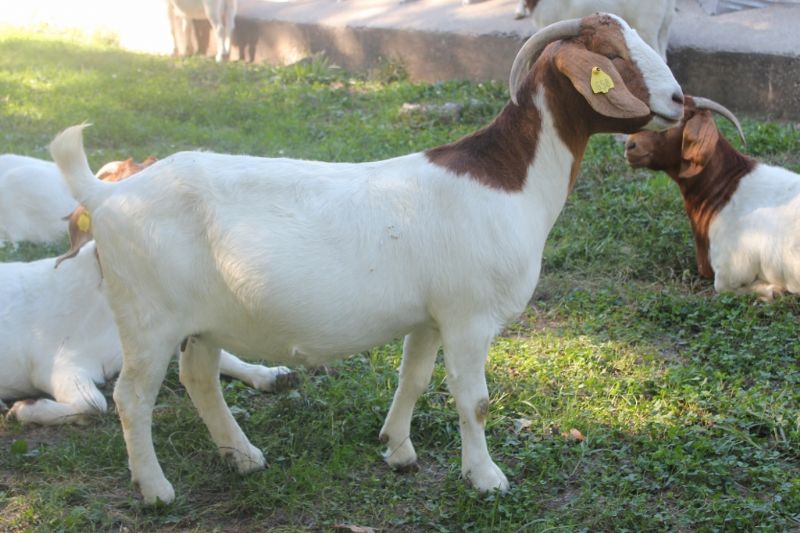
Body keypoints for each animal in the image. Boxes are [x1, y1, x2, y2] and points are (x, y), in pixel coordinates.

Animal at [624, 95, 800, 300]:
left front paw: (773, 290)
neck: (727, 188)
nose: (630, 146)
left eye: (672, 120)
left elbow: (722, 286)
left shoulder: (730, 269)